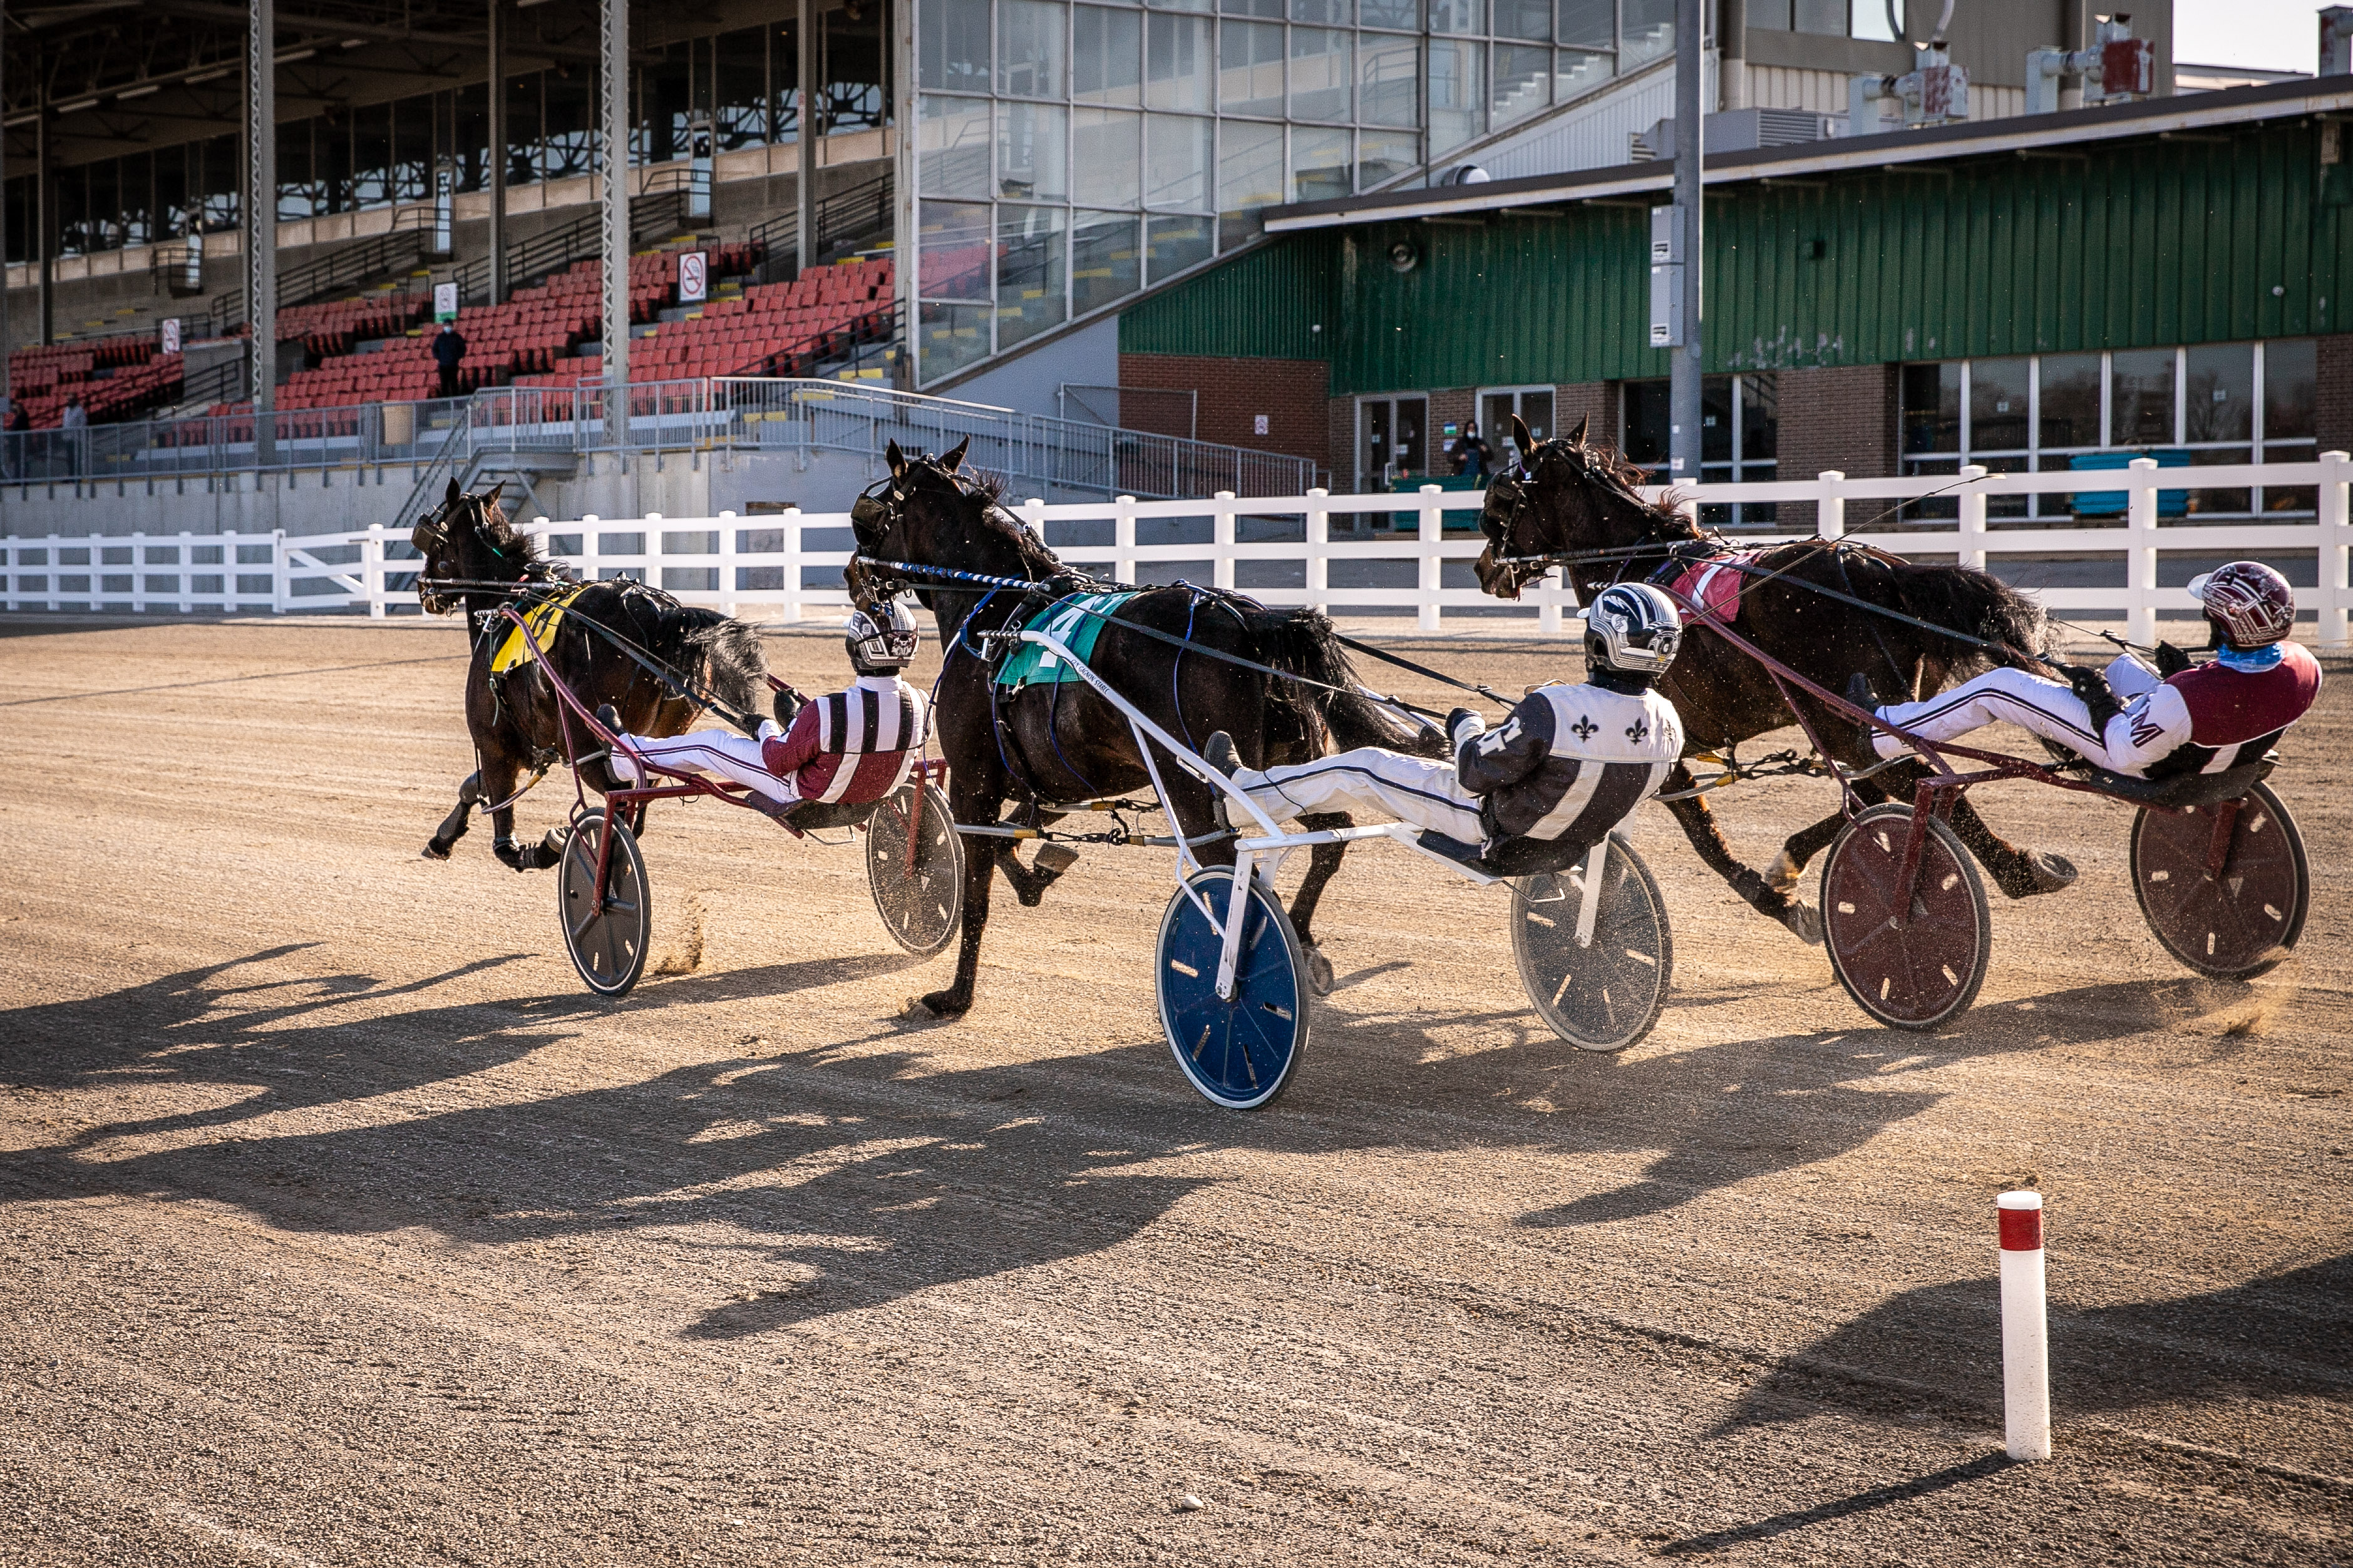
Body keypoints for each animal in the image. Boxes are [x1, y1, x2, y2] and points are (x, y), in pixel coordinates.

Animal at [409, 479, 767, 869]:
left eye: (432, 536)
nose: (423, 588)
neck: (511, 601)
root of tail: (661, 616)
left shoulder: (493, 743)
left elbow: (504, 840)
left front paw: (543, 848)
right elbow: (474, 786)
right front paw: (443, 836)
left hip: (589, 742)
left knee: (620, 800)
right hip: (662, 735)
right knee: (637, 803)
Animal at [847, 442, 1430, 1025]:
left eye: (870, 517)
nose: (853, 575)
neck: (997, 613)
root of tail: (1256, 625)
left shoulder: (975, 782)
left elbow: (977, 891)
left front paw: (955, 995)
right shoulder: (1051, 783)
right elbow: (1016, 837)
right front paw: (1039, 872)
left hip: (1197, 789)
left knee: (1232, 872)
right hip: (1284, 773)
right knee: (1331, 838)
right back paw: (1303, 940)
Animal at [1478, 416, 2071, 940]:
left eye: (1500, 499)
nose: (1486, 568)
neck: (1639, 568)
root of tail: (1883, 572)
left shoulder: (1660, 744)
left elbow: (1705, 839)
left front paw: (1775, 904)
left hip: (1843, 721)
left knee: (1917, 780)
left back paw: (2017, 871)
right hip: (1861, 718)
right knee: (1882, 785)